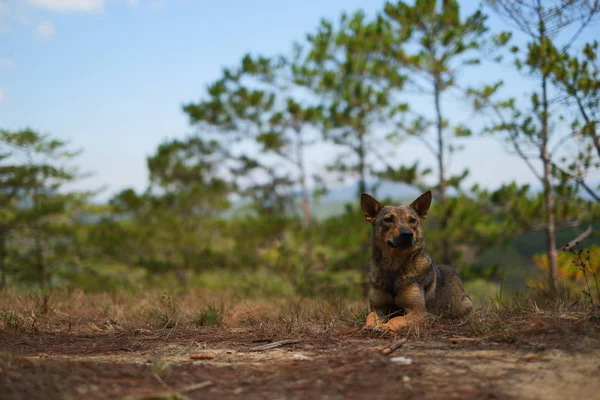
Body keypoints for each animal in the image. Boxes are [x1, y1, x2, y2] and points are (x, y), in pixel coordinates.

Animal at [360, 191, 474, 332]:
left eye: (412, 220)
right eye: (388, 220)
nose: (407, 234)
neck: (394, 267)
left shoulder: (419, 312)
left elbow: (398, 318)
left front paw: (385, 326)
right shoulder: (379, 308)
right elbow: (371, 315)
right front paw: (369, 325)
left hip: (465, 305)